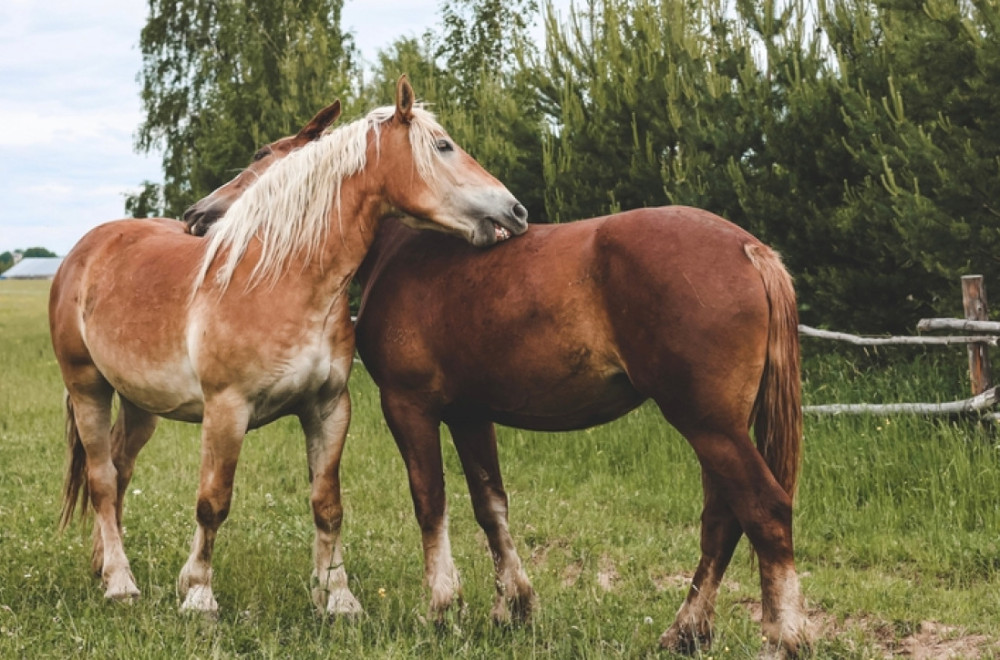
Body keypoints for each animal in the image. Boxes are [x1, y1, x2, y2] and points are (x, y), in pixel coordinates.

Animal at [47, 77, 532, 620]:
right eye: (445, 146)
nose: (516, 211)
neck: (283, 280)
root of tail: (86, 248)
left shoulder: (328, 407)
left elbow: (327, 505)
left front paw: (338, 598)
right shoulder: (226, 411)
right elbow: (213, 502)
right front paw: (199, 595)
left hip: (139, 403)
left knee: (118, 471)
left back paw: (104, 565)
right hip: (87, 387)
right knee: (101, 478)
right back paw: (119, 582)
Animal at [180, 114, 808, 656]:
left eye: (262, 157)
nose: (197, 215)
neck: (403, 249)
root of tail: (749, 249)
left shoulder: (409, 406)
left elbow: (430, 500)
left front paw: (441, 608)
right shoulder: (470, 413)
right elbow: (490, 505)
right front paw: (514, 606)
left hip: (709, 425)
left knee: (764, 510)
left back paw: (784, 635)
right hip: (718, 427)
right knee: (723, 520)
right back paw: (685, 632)